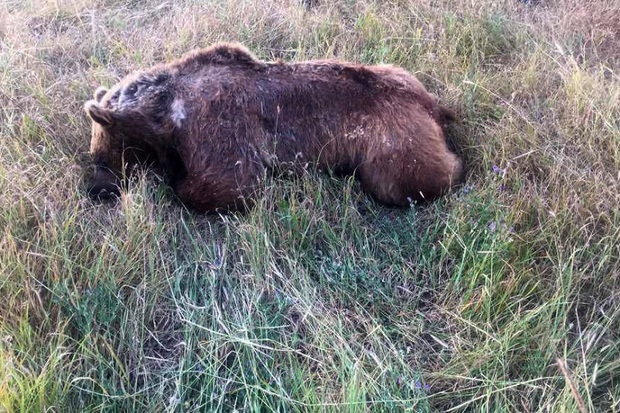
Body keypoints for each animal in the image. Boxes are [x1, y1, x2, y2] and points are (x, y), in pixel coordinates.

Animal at [83, 43, 460, 211]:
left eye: (101, 156)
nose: (95, 190)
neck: (164, 113)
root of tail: (429, 103)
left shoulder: (216, 129)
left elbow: (229, 184)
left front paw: (173, 178)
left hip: (392, 137)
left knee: (403, 181)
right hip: (399, 73)